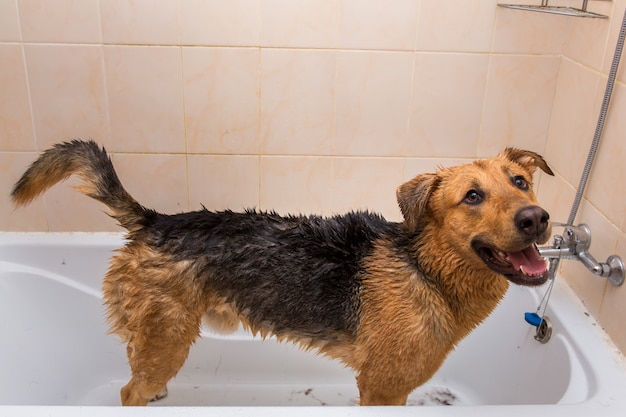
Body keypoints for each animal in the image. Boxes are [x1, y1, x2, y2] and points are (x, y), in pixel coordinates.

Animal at [11, 140, 552, 404]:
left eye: (521, 182)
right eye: (472, 196)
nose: (537, 218)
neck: (428, 269)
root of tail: (155, 220)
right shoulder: (383, 389)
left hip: (154, 338)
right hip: (169, 339)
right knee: (128, 392)